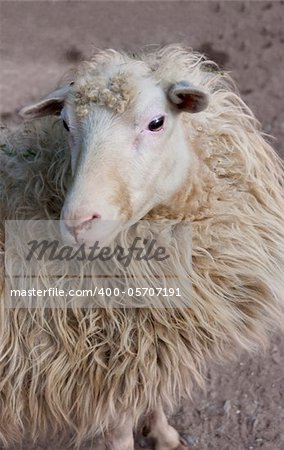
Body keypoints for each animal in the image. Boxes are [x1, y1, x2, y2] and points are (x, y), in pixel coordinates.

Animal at [0, 43, 284, 450]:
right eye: (66, 124)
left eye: (156, 122)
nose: (77, 222)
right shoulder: (108, 375)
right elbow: (121, 434)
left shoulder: (145, 353)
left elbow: (154, 399)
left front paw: (164, 435)